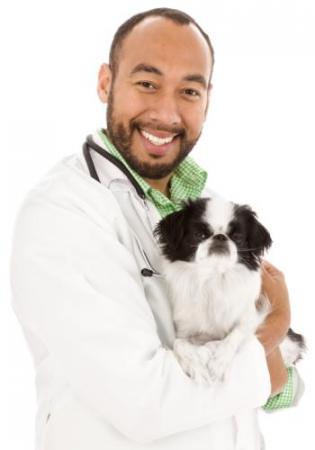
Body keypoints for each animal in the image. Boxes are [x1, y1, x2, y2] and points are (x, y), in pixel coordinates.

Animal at [154, 196, 308, 450]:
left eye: (237, 237)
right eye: (199, 235)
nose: (220, 237)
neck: (213, 279)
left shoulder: (251, 317)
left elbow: (234, 336)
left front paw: (218, 360)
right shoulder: (186, 331)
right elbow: (180, 345)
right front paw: (197, 367)